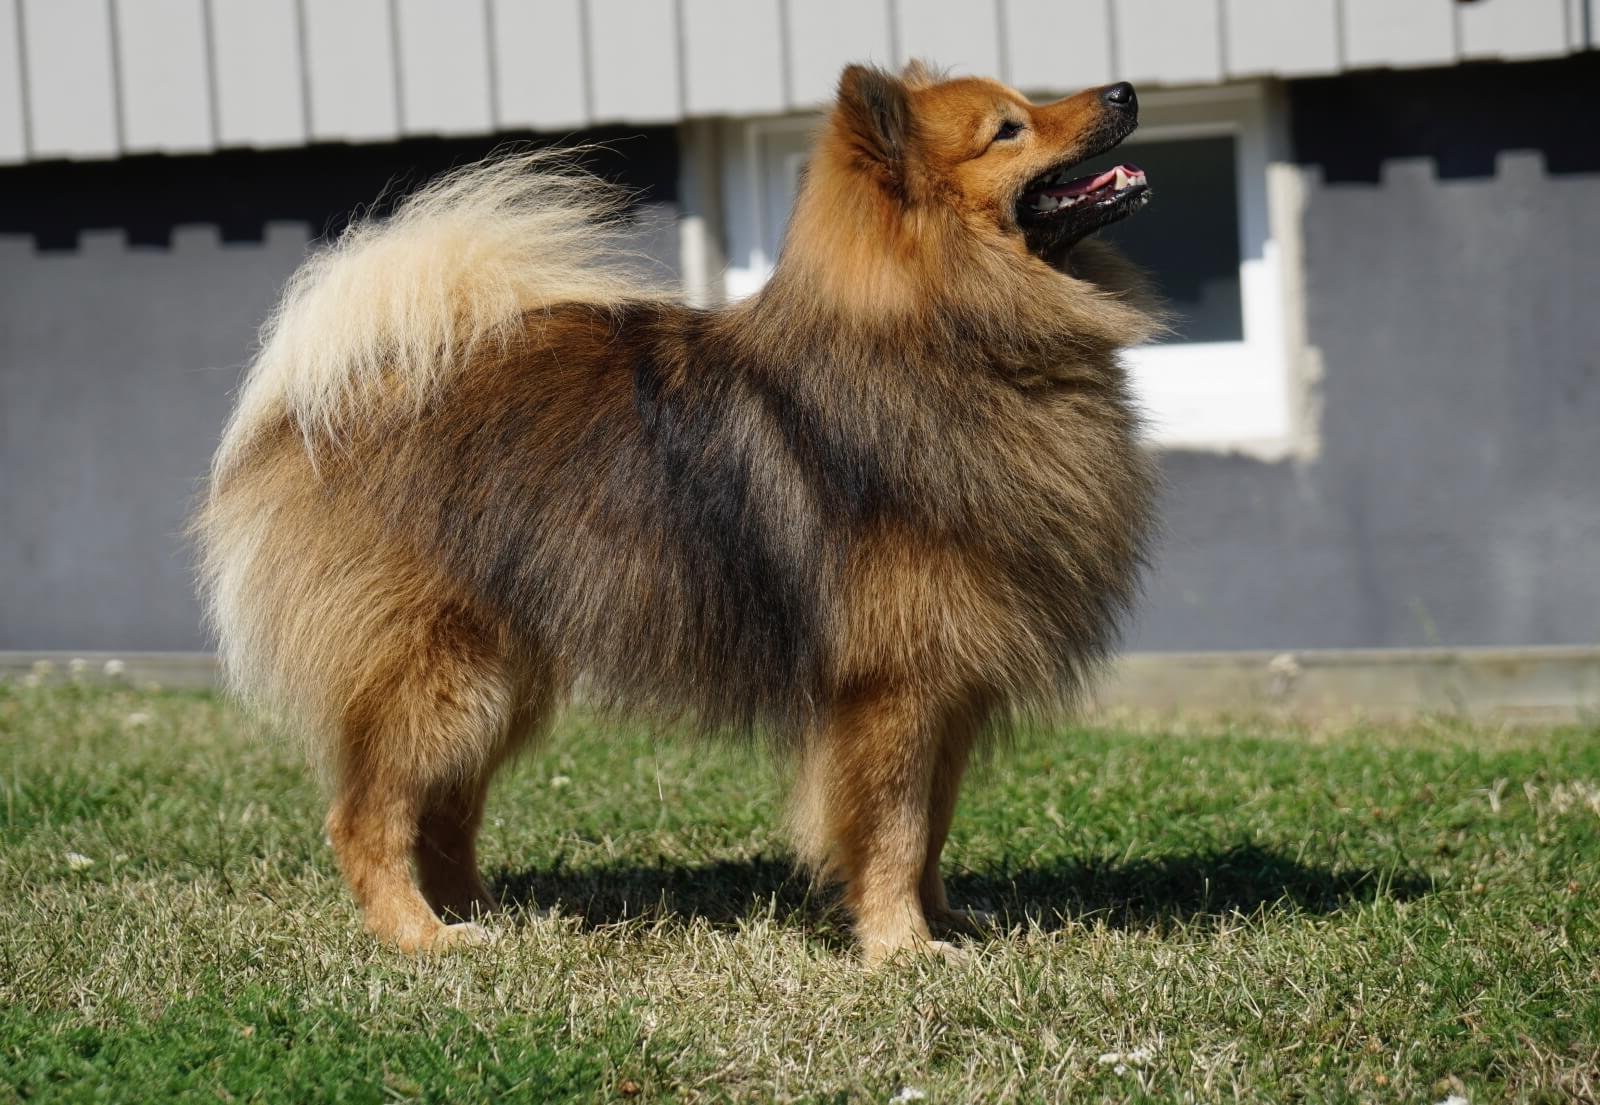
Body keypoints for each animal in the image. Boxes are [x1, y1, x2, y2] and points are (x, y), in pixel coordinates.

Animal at [193, 60, 1158, 965]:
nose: (1124, 89)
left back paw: (487, 917)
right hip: (438, 676)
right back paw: (419, 935)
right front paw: (901, 948)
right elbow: (893, 829)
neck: (951, 329)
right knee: (368, 814)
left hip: (497, 683)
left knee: (446, 812)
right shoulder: (892, 688)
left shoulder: (948, 685)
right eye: (1009, 129)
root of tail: (353, 383)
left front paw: (946, 921)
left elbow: (933, 828)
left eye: (1025, 106)